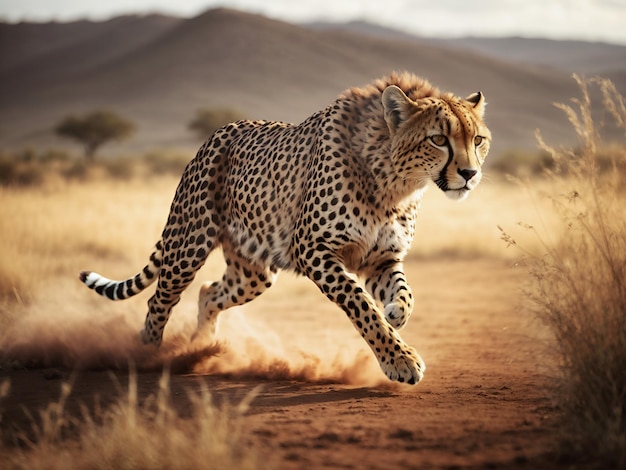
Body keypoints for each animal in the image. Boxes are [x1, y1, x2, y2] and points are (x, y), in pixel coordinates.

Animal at [79, 70, 488, 386]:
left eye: (478, 140)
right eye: (439, 139)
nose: (470, 174)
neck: (394, 183)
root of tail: (217, 133)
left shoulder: (380, 259)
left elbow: (404, 293)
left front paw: (398, 313)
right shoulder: (314, 250)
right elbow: (361, 306)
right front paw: (400, 360)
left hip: (252, 273)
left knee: (209, 292)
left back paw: (201, 348)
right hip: (188, 246)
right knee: (160, 299)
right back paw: (147, 355)